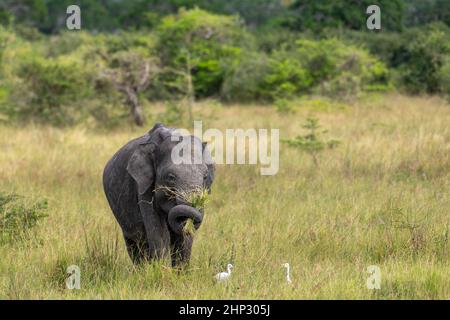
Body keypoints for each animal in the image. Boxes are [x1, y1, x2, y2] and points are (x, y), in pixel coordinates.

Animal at [103, 124, 215, 266]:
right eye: (171, 177)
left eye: (205, 176)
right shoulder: (144, 186)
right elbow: (159, 233)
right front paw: (160, 270)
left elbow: (184, 236)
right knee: (135, 243)